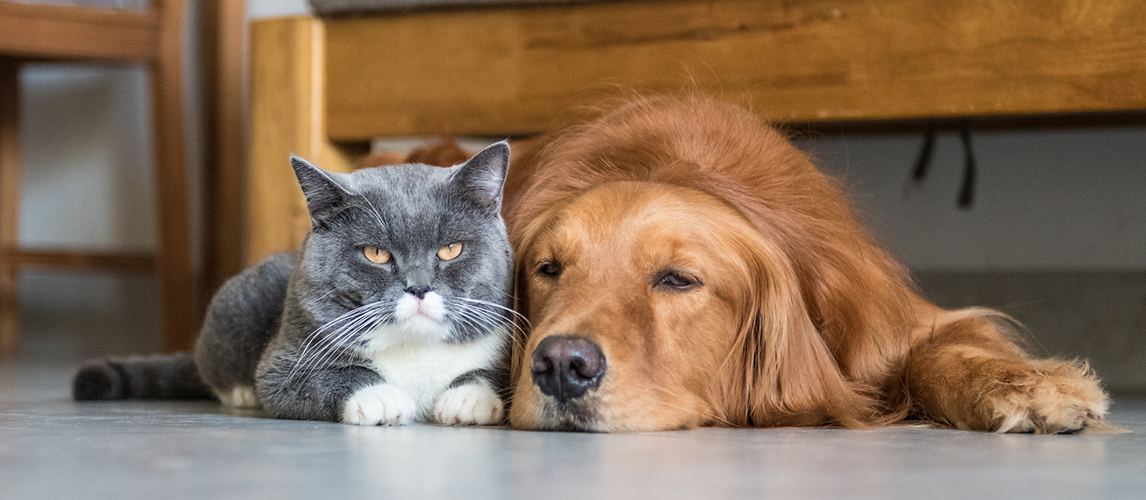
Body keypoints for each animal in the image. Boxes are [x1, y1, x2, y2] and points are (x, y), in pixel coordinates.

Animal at [75, 141, 515, 426]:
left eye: (450, 249)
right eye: (376, 254)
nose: (419, 288)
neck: (414, 347)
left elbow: (498, 372)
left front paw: (468, 397)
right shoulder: (287, 358)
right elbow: (314, 377)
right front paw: (381, 396)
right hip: (237, 302)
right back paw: (241, 393)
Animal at [394, 94, 1109, 433]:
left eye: (678, 280)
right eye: (549, 270)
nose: (561, 367)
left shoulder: (888, 321)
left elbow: (940, 351)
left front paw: (1027, 388)